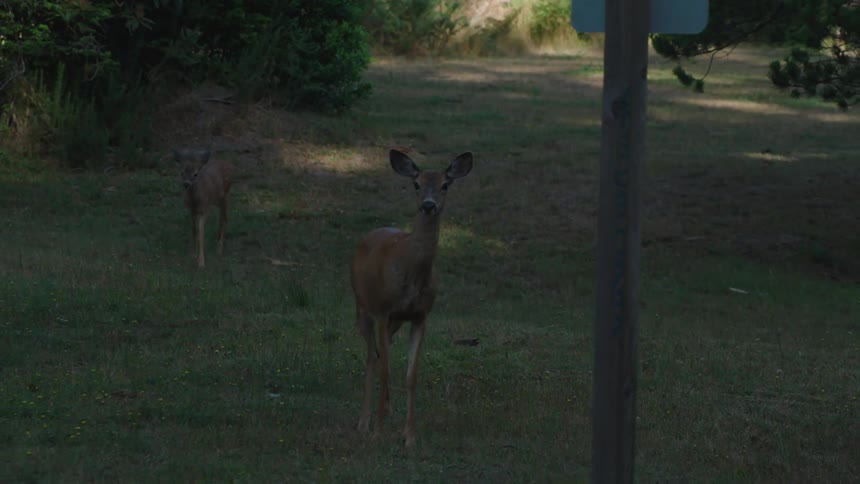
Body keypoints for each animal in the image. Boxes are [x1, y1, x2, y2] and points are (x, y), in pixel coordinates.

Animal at [350, 148, 473, 448]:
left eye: (445, 184)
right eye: (416, 184)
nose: (428, 205)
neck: (412, 274)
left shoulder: (420, 316)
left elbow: (411, 375)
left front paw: (409, 436)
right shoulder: (384, 311)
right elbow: (385, 370)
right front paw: (378, 433)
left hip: (394, 321)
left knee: (380, 353)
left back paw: (387, 411)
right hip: (362, 306)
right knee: (372, 358)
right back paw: (364, 422)